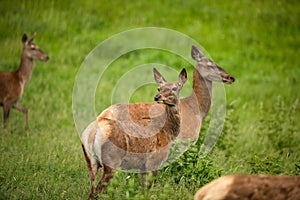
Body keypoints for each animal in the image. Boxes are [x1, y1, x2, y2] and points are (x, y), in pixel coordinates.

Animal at [81, 67, 186, 198]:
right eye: (159, 88)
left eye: (175, 88)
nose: (157, 97)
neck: (167, 130)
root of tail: (92, 133)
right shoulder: (154, 160)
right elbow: (147, 190)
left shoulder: (143, 166)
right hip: (111, 161)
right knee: (97, 191)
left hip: (90, 161)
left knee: (91, 190)